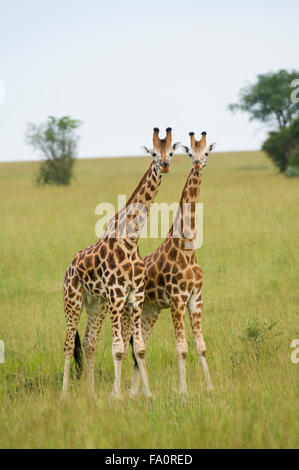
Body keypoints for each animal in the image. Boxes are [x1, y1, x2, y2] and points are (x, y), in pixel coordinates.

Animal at [62, 126, 179, 398]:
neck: (131, 238)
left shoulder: (135, 295)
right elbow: (118, 347)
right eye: (154, 153)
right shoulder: (117, 295)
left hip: (96, 304)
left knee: (89, 341)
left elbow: (139, 347)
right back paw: (64, 395)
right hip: (73, 300)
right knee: (68, 343)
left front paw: (147, 395)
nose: (165, 165)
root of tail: (69, 267)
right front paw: (116, 396)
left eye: (170, 151)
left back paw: (91, 394)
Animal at [125, 130, 217, 394]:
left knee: (139, 345)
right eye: (190, 154)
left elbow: (201, 346)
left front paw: (210, 389)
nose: (197, 164)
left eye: (206, 153)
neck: (187, 249)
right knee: (129, 345)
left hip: (150, 310)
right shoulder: (177, 299)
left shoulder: (196, 298)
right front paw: (183, 393)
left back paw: (134, 393)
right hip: (128, 310)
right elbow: (182, 348)